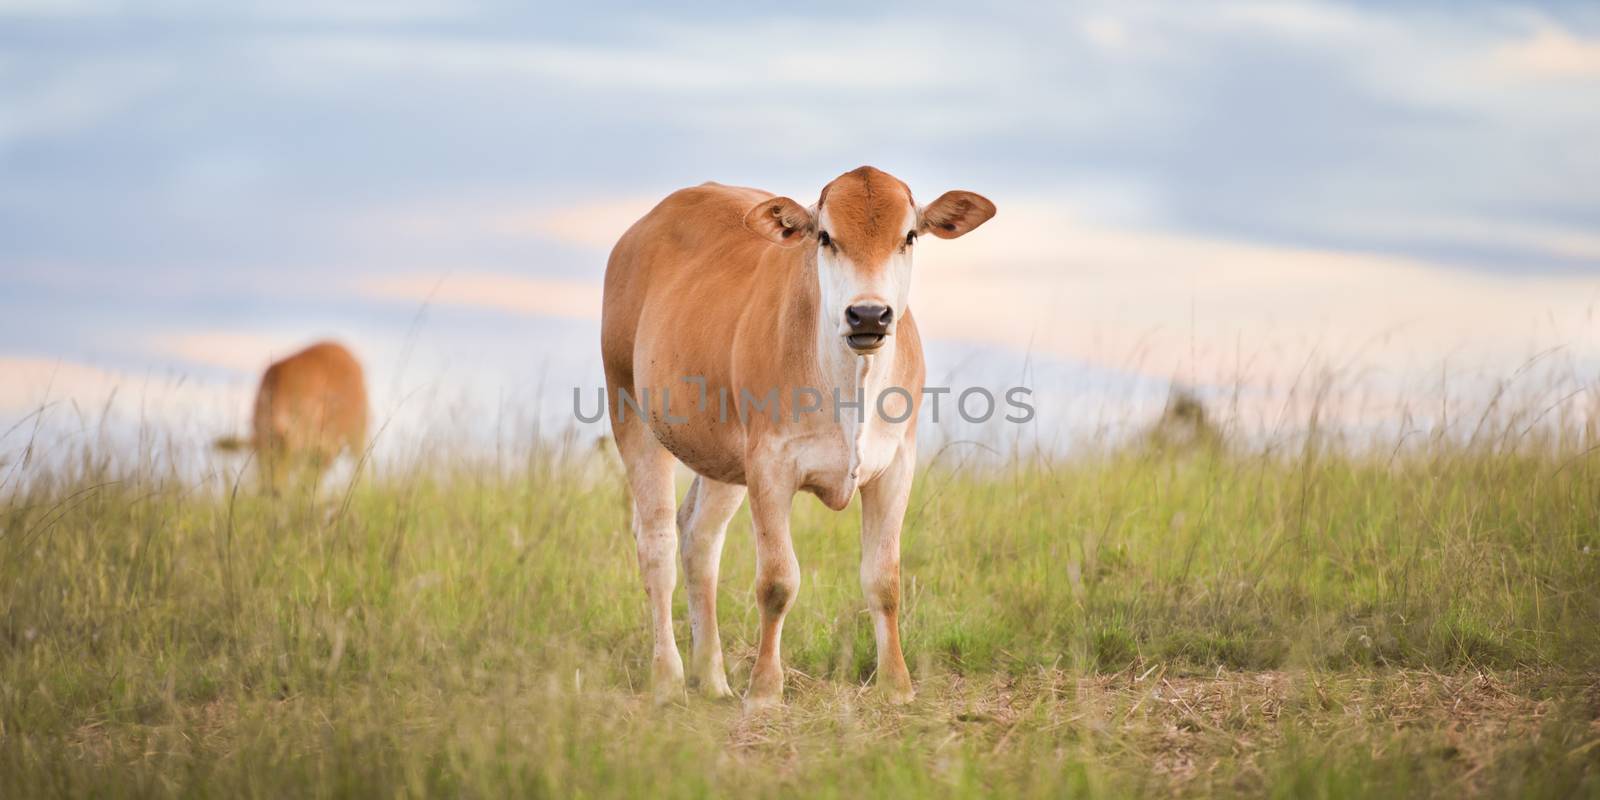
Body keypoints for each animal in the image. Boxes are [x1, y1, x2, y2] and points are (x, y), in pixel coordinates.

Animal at [604, 165, 992, 704]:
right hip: (630, 409)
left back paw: (714, 680)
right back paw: (668, 678)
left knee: (699, 538)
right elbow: (777, 581)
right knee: (657, 541)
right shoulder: (770, 466)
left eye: (909, 236)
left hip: (723, 456)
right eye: (825, 237)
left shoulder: (896, 466)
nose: (868, 314)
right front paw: (766, 689)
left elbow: (884, 580)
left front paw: (897, 685)